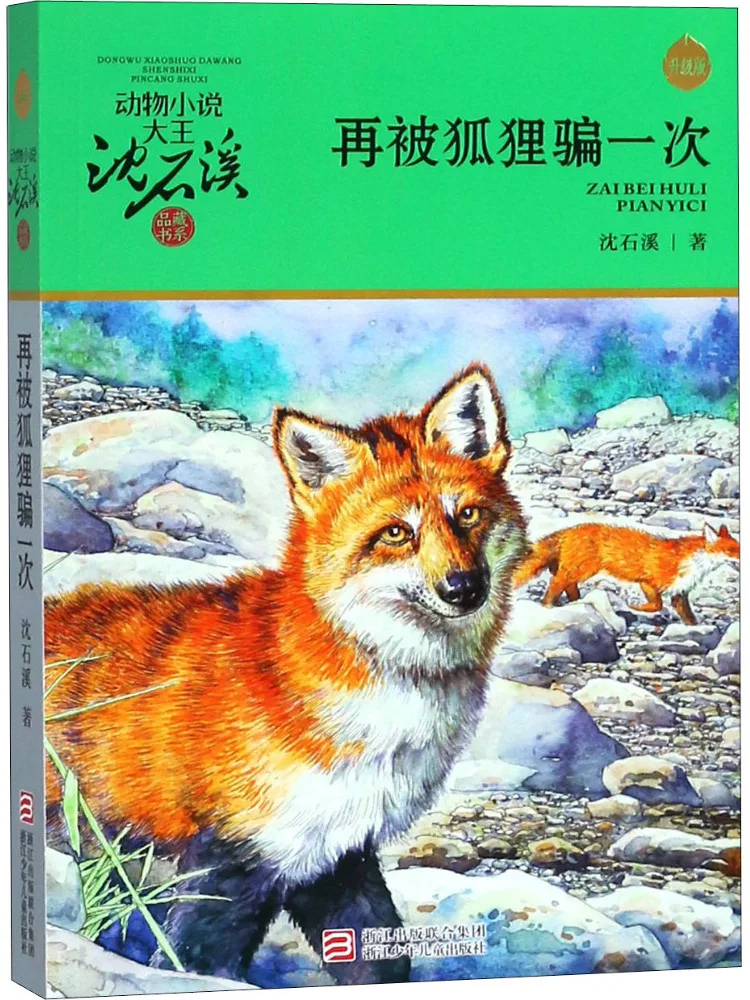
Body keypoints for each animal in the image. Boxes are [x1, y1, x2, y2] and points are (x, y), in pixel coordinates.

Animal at [44, 364, 527, 985]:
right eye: (396, 533)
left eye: (467, 515)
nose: (464, 588)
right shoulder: (231, 860)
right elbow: (197, 964)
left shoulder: (337, 858)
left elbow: (380, 958)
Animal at [513, 521, 739, 625]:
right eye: (731, 550)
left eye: (738, 547)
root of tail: (568, 530)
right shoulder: (648, 581)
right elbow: (656, 604)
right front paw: (635, 607)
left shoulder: (679, 592)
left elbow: (687, 616)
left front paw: (694, 627)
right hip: (581, 569)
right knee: (556, 583)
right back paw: (547, 606)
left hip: (577, 571)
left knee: (566, 585)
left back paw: (575, 602)